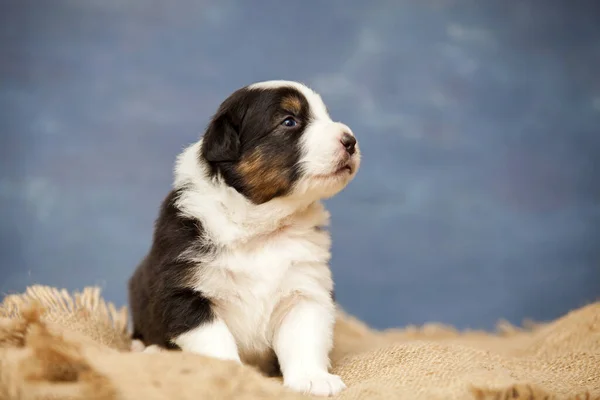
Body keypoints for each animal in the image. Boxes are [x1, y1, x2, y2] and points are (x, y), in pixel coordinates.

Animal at [128, 79, 358, 396]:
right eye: (289, 121)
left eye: (326, 115)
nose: (351, 140)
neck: (260, 227)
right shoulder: (184, 293)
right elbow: (215, 341)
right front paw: (231, 376)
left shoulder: (305, 290)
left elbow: (303, 338)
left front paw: (313, 379)